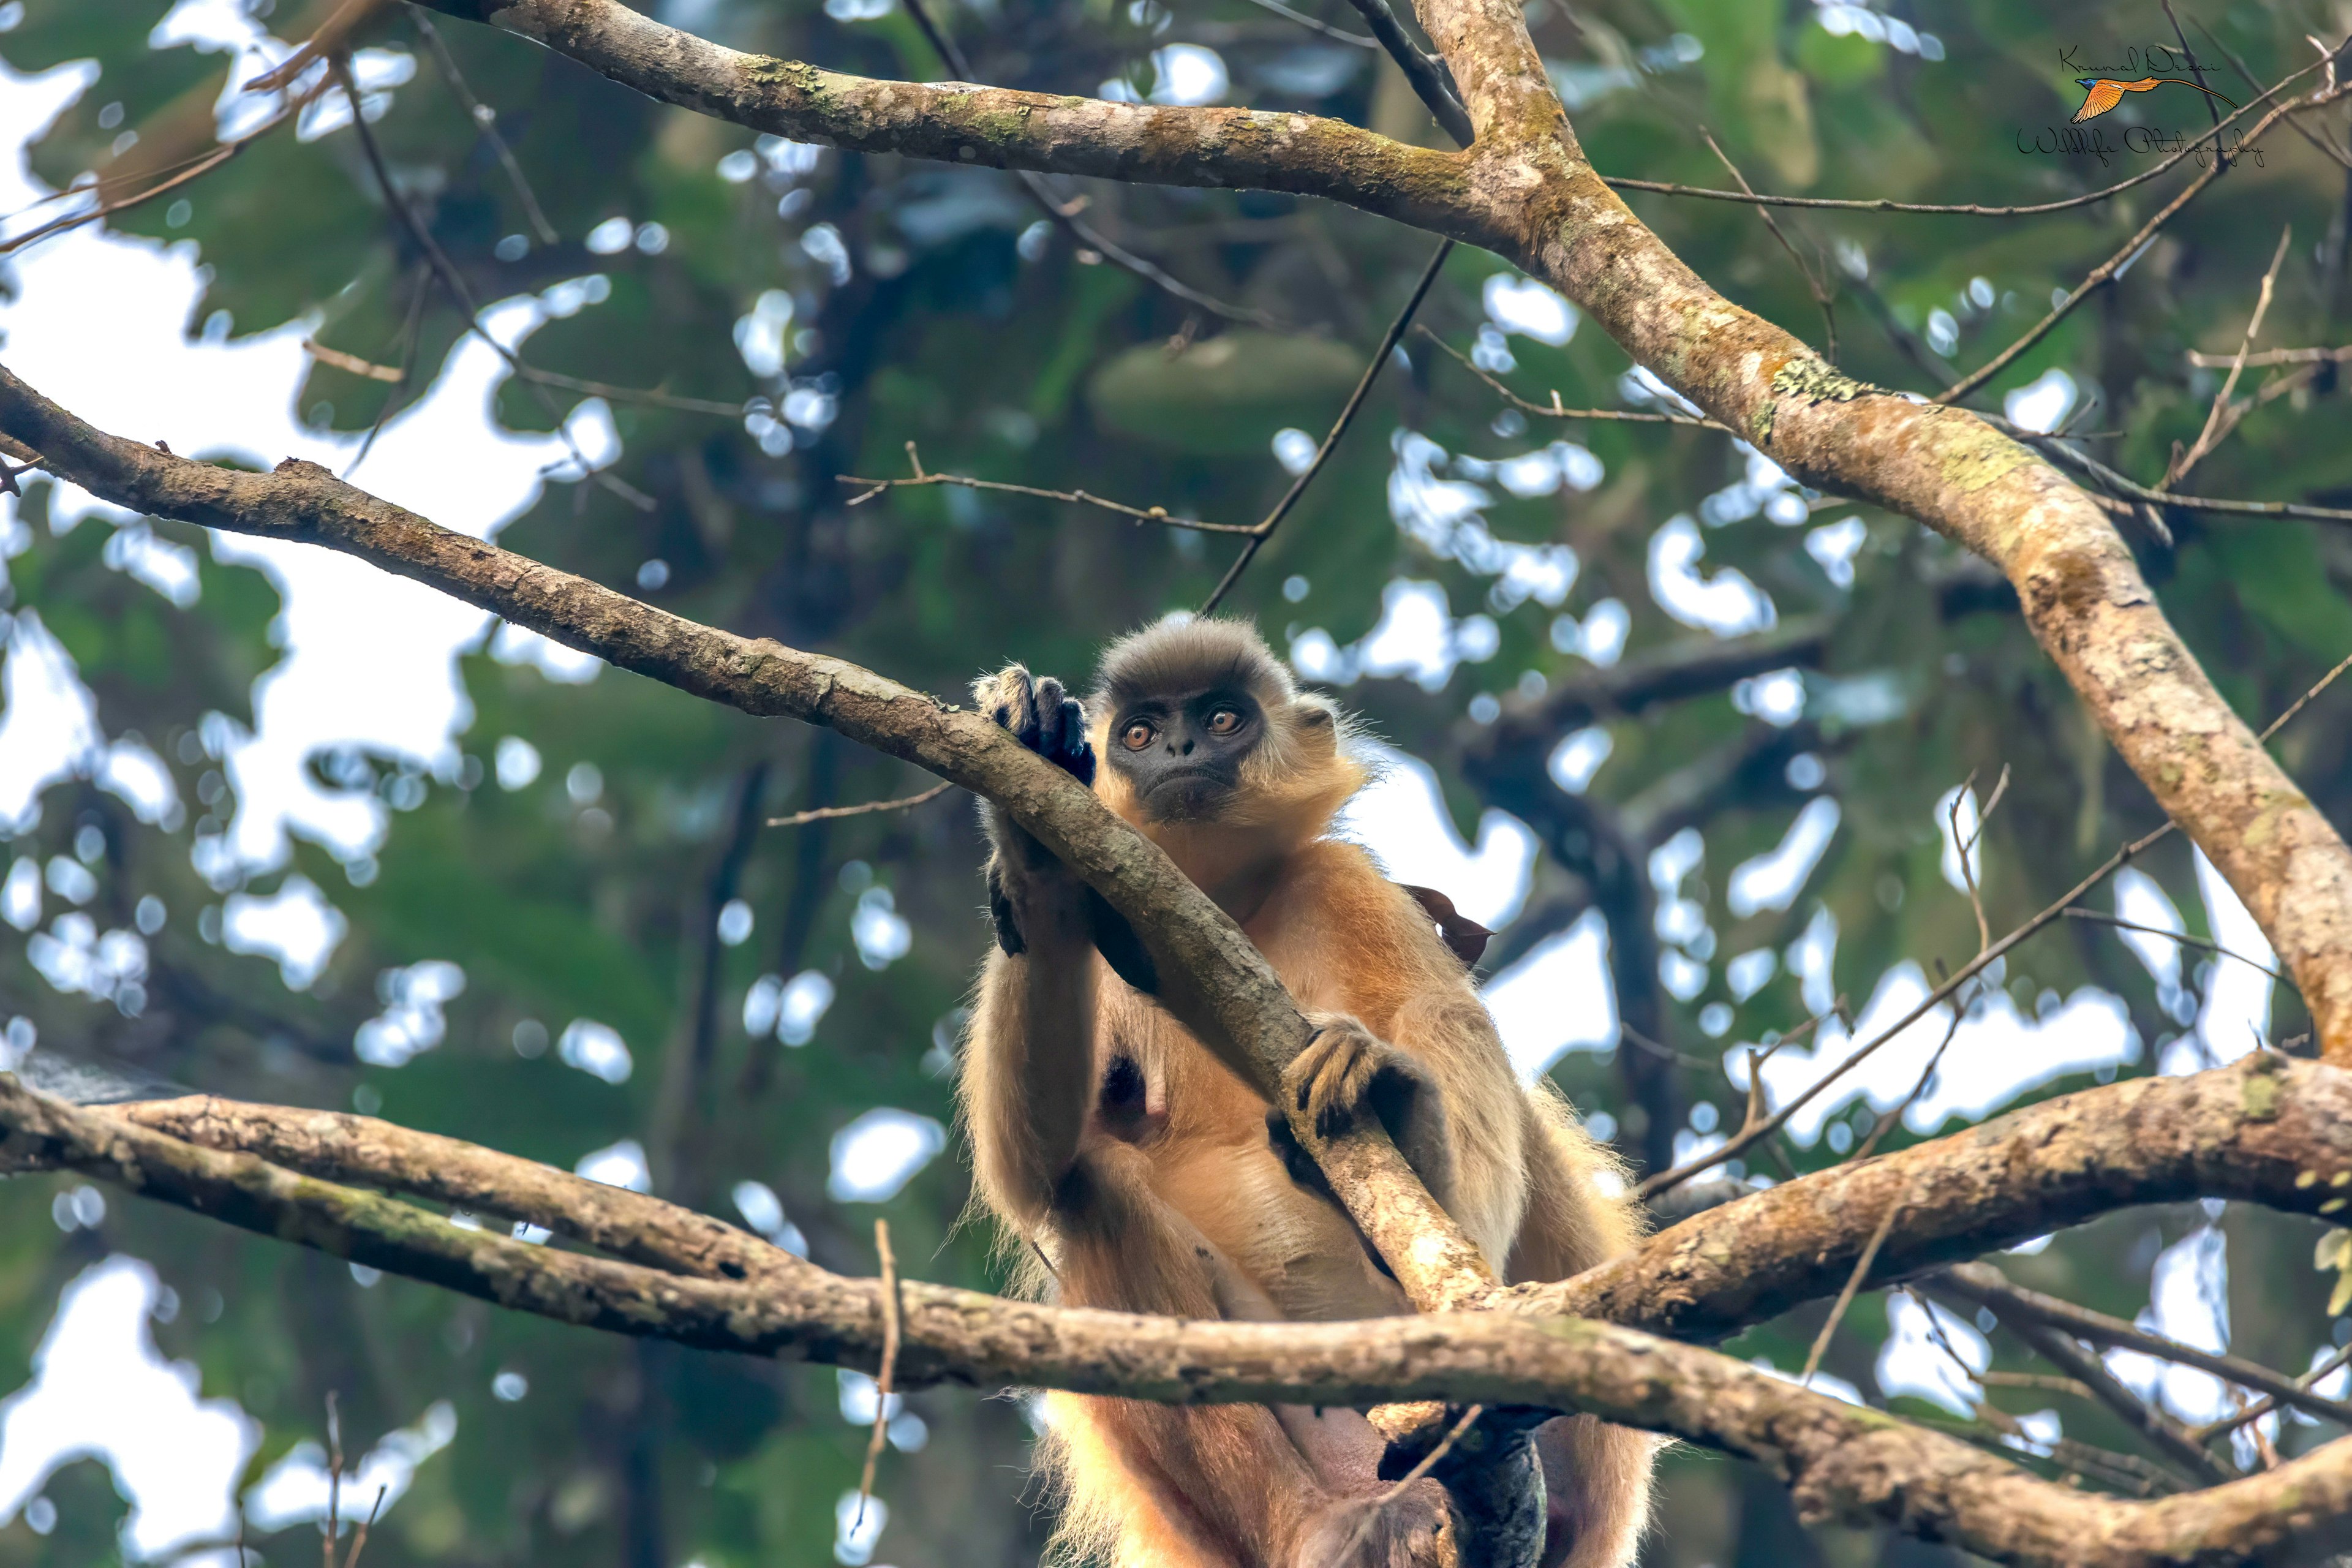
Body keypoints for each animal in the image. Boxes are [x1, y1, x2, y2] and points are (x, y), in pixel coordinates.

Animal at [955, 620, 1656, 1568]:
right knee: (1090, 1186)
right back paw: (1321, 1527)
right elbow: (1030, 1170)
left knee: (1438, 1015)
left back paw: (1415, 1144)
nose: (1178, 750)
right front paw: (1031, 827)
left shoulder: (1345, 878)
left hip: (1568, 1455)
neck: (1227, 907)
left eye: (1223, 719)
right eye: (1139, 732)